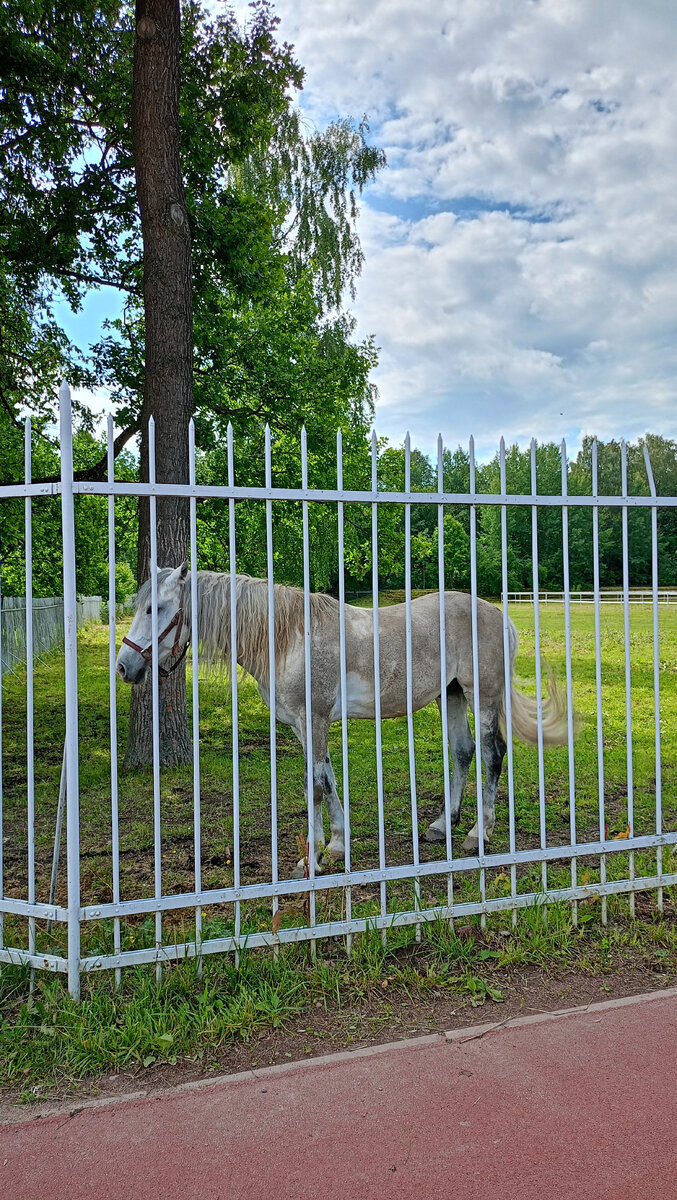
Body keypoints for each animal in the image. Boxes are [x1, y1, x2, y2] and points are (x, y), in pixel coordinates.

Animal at [117, 566, 571, 878]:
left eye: (155, 608)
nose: (124, 667)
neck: (287, 638)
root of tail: (499, 615)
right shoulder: (304, 726)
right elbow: (327, 779)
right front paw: (336, 845)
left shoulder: (314, 719)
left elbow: (314, 787)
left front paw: (312, 859)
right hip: (452, 694)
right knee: (463, 752)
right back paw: (443, 826)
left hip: (484, 696)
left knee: (494, 754)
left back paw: (480, 833)